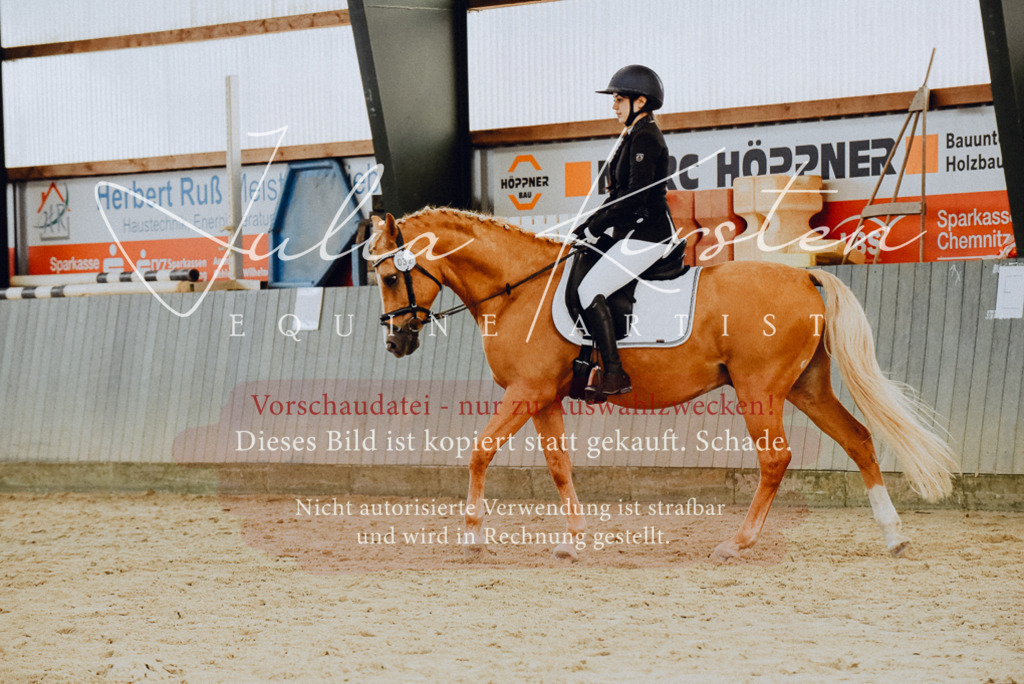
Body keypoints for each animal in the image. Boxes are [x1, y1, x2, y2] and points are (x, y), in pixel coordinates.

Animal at [368, 207, 958, 560]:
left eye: (392, 276)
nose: (395, 343)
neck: (517, 290)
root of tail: (804, 274)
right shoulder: (544, 397)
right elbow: (559, 467)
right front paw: (573, 543)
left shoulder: (526, 392)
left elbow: (479, 451)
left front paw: (472, 536)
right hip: (806, 388)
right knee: (858, 439)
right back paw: (894, 536)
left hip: (759, 390)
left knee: (775, 459)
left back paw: (736, 543)